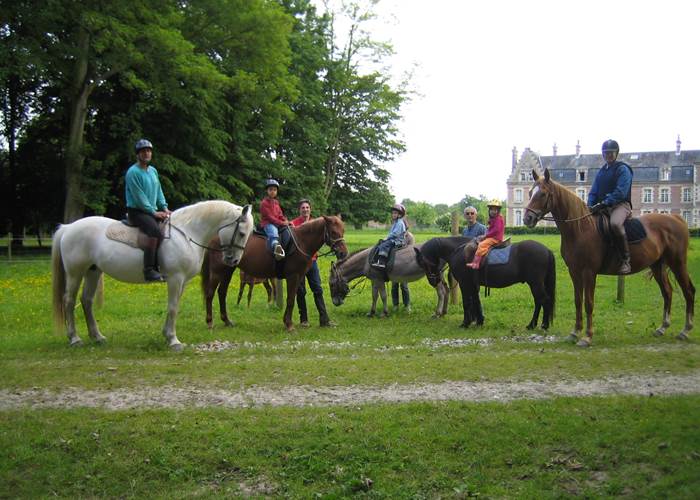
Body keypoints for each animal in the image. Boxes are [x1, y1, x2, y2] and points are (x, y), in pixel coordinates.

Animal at [51, 201, 254, 350]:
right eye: (241, 233)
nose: (234, 260)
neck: (187, 233)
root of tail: (68, 228)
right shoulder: (175, 278)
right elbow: (172, 307)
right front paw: (173, 340)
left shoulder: (183, 282)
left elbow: (175, 307)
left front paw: (167, 335)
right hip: (75, 273)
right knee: (69, 301)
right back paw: (75, 339)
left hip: (92, 271)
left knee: (86, 300)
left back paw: (97, 337)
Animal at [201, 216, 347, 331]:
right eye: (333, 232)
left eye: (343, 231)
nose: (343, 253)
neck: (301, 241)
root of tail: (214, 237)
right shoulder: (293, 276)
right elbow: (290, 300)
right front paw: (289, 325)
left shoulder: (299, 276)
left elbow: (293, 298)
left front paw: (287, 322)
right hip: (217, 271)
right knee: (210, 293)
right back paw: (209, 322)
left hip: (228, 270)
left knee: (222, 293)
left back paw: (226, 321)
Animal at [414, 236, 556, 329]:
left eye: (422, 262)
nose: (434, 281)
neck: (459, 252)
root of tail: (546, 250)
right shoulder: (473, 285)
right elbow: (476, 301)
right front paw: (479, 321)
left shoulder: (465, 284)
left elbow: (467, 303)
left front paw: (465, 323)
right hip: (536, 284)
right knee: (540, 301)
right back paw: (535, 324)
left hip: (535, 284)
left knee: (543, 300)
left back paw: (541, 325)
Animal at [523, 168, 695, 347]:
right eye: (530, 192)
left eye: (543, 194)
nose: (527, 218)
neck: (580, 228)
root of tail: (677, 218)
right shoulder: (574, 272)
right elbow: (578, 301)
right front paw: (575, 332)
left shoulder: (589, 272)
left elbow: (588, 303)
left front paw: (587, 336)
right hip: (657, 266)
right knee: (667, 292)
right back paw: (662, 328)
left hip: (678, 263)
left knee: (688, 291)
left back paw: (685, 330)